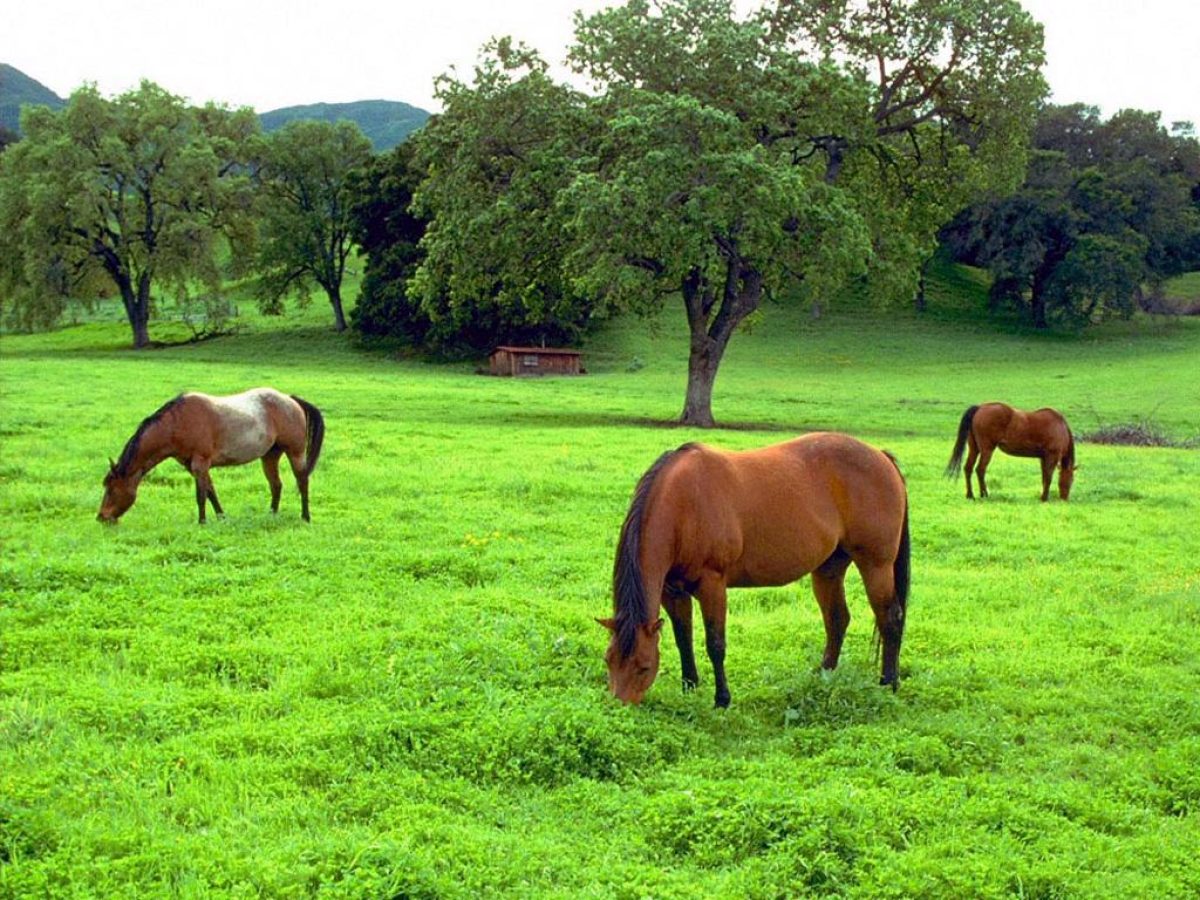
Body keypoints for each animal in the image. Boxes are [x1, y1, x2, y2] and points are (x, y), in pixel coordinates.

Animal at [97, 386, 324, 525]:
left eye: (111, 490)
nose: (101, 517)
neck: (177, 423)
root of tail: (290, 400)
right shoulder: (194, 466)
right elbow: (210, 491)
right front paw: (221, 518)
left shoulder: (200, 462)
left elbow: (201, 495)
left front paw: (202, 522)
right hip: (270, 455)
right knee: (276, 485)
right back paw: (272, 514)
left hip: (295, 452)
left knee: (302, 481)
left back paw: (306, 516)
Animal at [600, 434, 907, 710]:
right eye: (608, 660)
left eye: (643, 666)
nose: (618, 706)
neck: (683, 505)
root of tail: (882, 457)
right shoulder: (672, 590)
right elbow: (682, 638)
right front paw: (690, 687)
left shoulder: (712, 584)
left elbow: (715, 643)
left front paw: (722, 699)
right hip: (829, 569)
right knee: (837, 620)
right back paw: (824, 676)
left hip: (876, 565)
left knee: (890, 617)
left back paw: (888, 683)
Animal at [945, 405, 1080, 504]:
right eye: (1071, 479)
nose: (1064, 499)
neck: (1060, 427)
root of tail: (980, 408)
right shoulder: (1052, 456)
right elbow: (1048, 477)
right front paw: (1044, 498)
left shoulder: (1043, 458)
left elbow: (1044, 477)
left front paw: (1043, 496)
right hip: (987, 449)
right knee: (980, 470)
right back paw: (984, 494)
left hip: (975, 448)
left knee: (968, 468)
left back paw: (970, 495)